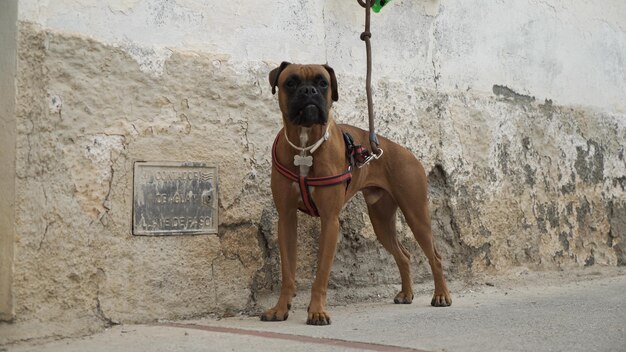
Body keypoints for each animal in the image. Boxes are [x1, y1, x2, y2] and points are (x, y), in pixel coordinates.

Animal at [260, 62, 450, 326]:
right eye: (291, 82)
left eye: (322, 82)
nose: (309, 91)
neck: (305, 145)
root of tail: (404, 151)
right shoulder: (286, 219)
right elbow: (288, 271)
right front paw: (280, 309)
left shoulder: (330, 221)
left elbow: (321, 273)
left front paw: (317, 311)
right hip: (381, 222)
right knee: (404, 255)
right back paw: (406, 294)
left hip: (416, 215)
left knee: (435, 256)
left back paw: (441, 295)